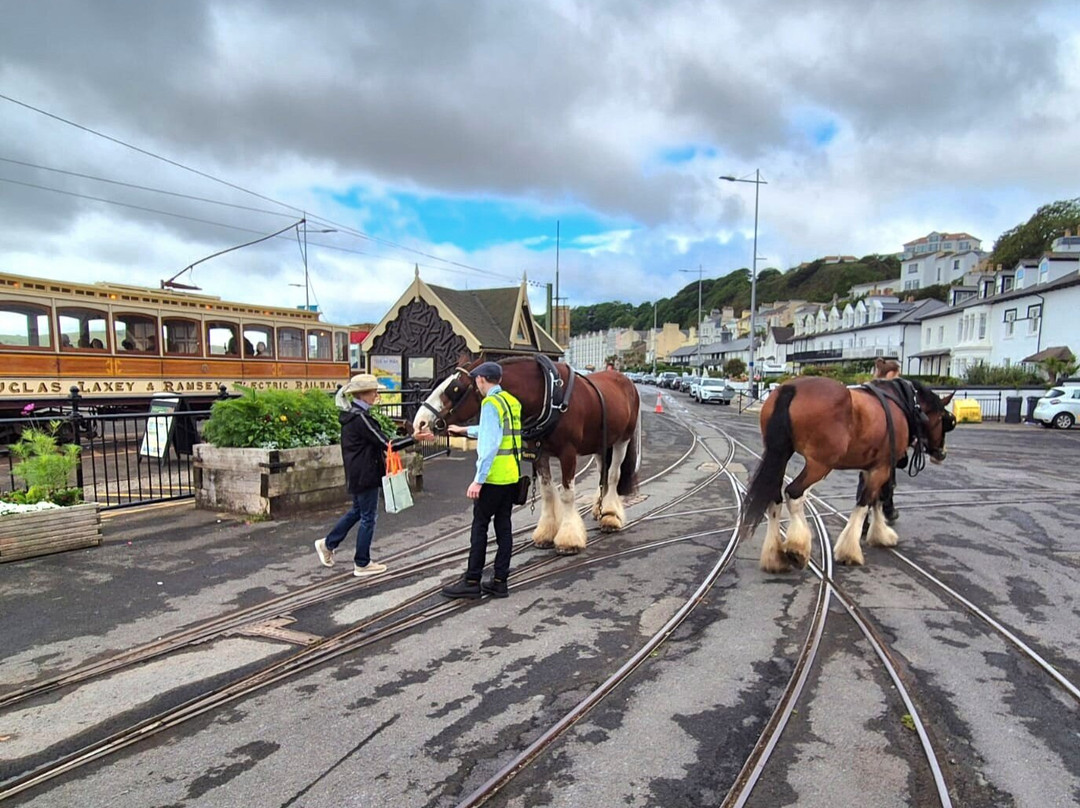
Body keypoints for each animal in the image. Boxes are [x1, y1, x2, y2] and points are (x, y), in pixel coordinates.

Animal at [412, 356, 641, 554]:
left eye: (455, 388)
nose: (419, 423)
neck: (549, 394)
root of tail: (626, 381)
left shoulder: (568, 453)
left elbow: (567, 494)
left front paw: (569, 539)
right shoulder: (540, 453)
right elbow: (547, 492)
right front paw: (547, 533)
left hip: (622, 440)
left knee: (613, 475)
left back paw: (610, 516)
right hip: (601, 444)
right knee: (603, 473)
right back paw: (599, 509)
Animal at [741, 376, 955, 570]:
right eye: (943, 420)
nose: (942, 453)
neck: (905, 405)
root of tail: (791, 388)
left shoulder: (873, 467)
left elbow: (875, 500)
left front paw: (880, 534)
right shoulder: (883, 467)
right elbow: (865, 503)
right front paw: (850, 551)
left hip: (780, 455)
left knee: (774, 498)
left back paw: (775, 556)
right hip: (819, 465)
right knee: (794, 493)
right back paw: (797, 548)